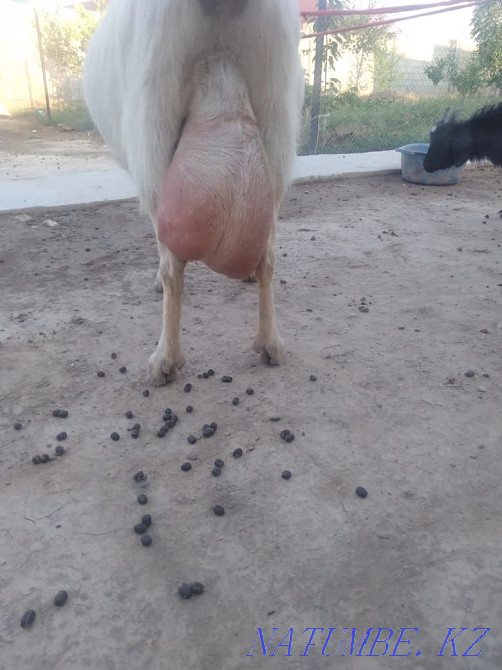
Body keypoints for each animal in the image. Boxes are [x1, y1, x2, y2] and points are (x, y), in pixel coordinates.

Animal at [83, 0, 304, 386]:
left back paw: (165, 360)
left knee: (173, 267)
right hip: (276, 119)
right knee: (268, 257)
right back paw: (270, 343)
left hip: (154, 121)